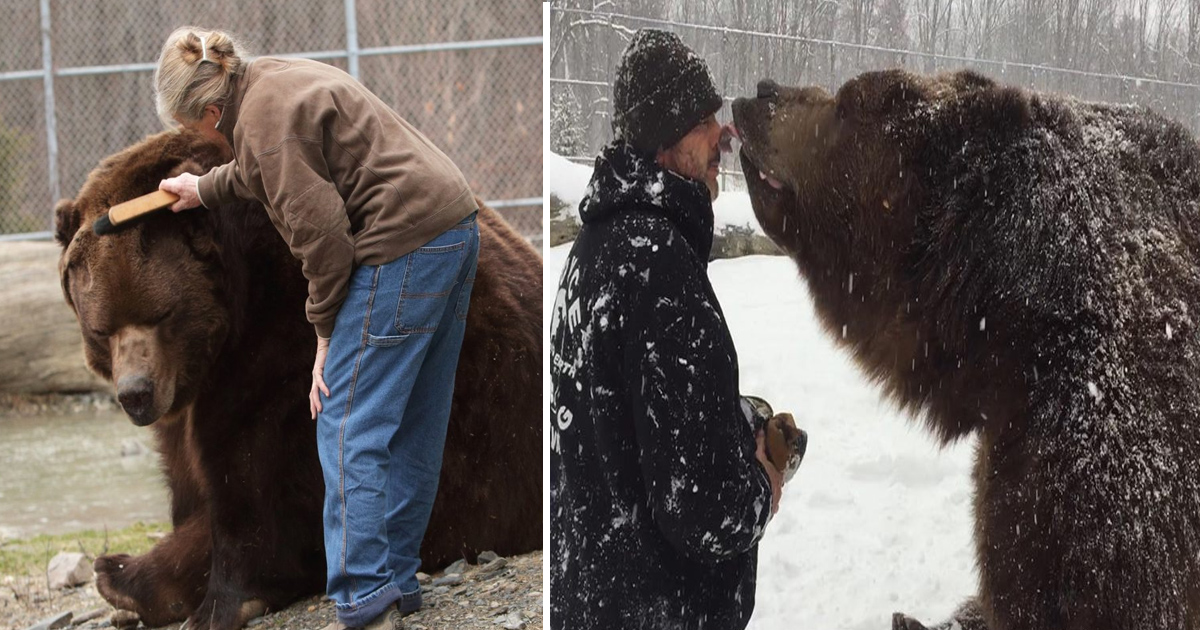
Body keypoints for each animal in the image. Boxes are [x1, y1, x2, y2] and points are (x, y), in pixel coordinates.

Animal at [53, 129, 542, 630]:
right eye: (101, 328)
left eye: (162, 313)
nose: (136, 394)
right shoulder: (188, 396)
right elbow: (188, 477)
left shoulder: (279, 356)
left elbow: (262, 492)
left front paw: (176, 591)